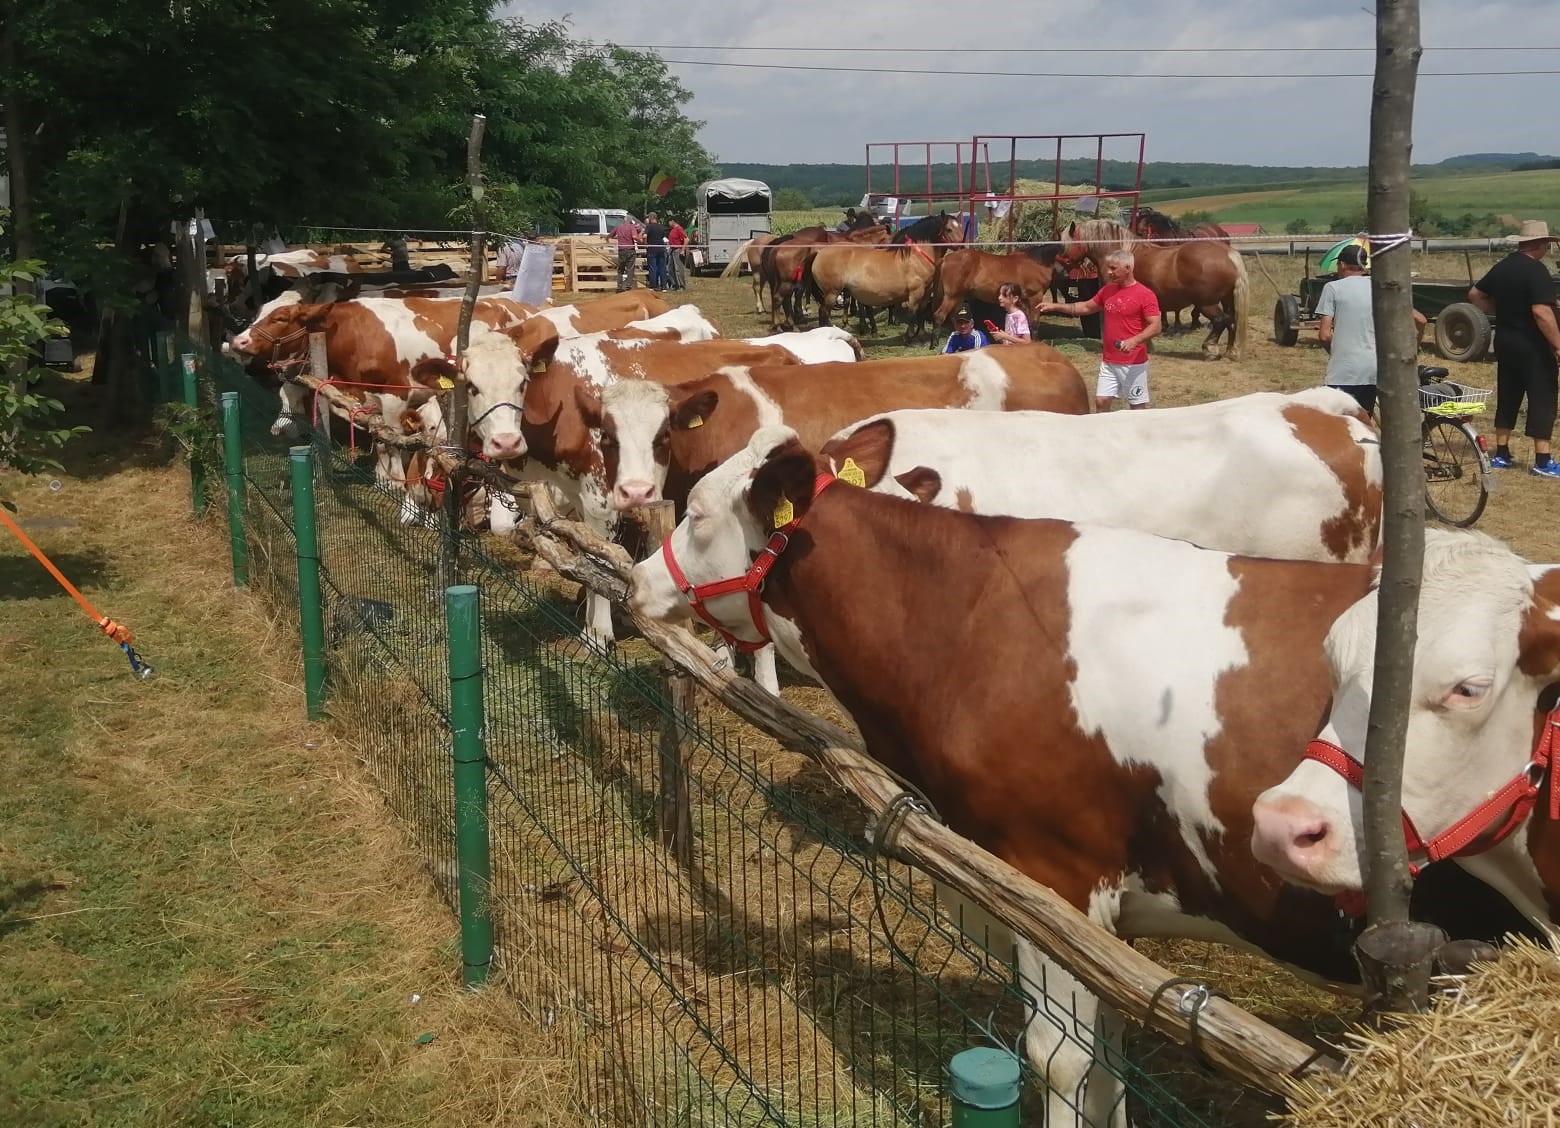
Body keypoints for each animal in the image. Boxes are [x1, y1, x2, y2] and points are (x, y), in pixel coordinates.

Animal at [633, 427, 1535, 1123]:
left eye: (698, 512)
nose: (640, 581)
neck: (964, 624)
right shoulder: (1101, 917)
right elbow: (1107, 1053)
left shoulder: (1053, 873)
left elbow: (1059, 1058)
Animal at [804, 213, 960, 341]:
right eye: (948, 229)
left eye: (960, 227)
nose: (961, 246)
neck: (916, 256)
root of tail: (820, 252)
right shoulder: (916, 292)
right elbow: (912, 313)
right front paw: (908, 336)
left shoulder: (926, 292)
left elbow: (920, 311)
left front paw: (920, 333)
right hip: (831, 292)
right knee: (824, 313)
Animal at [1054, 218, 1248, 358]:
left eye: (1064, 245)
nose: (1058, 270)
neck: (1118, 255)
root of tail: (1228, 254)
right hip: (1226, 300)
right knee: (1231, 321)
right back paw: (1231, 352)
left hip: (1206, 303)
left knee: (1221, 320)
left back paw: (1209, 348)